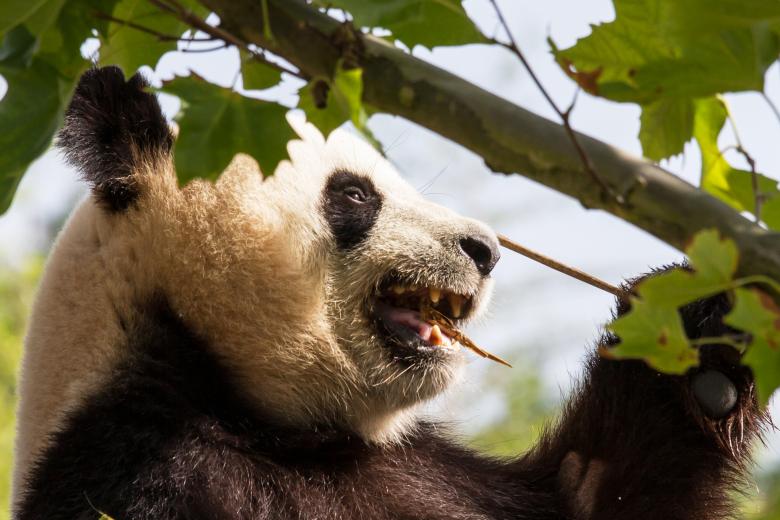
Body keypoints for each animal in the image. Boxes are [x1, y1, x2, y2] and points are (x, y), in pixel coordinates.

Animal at [11, 67, 765, 519]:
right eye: (354, 194)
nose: (484, 250)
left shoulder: (423, 470)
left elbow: (593, 489)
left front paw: (705, 344)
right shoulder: (143, 464)